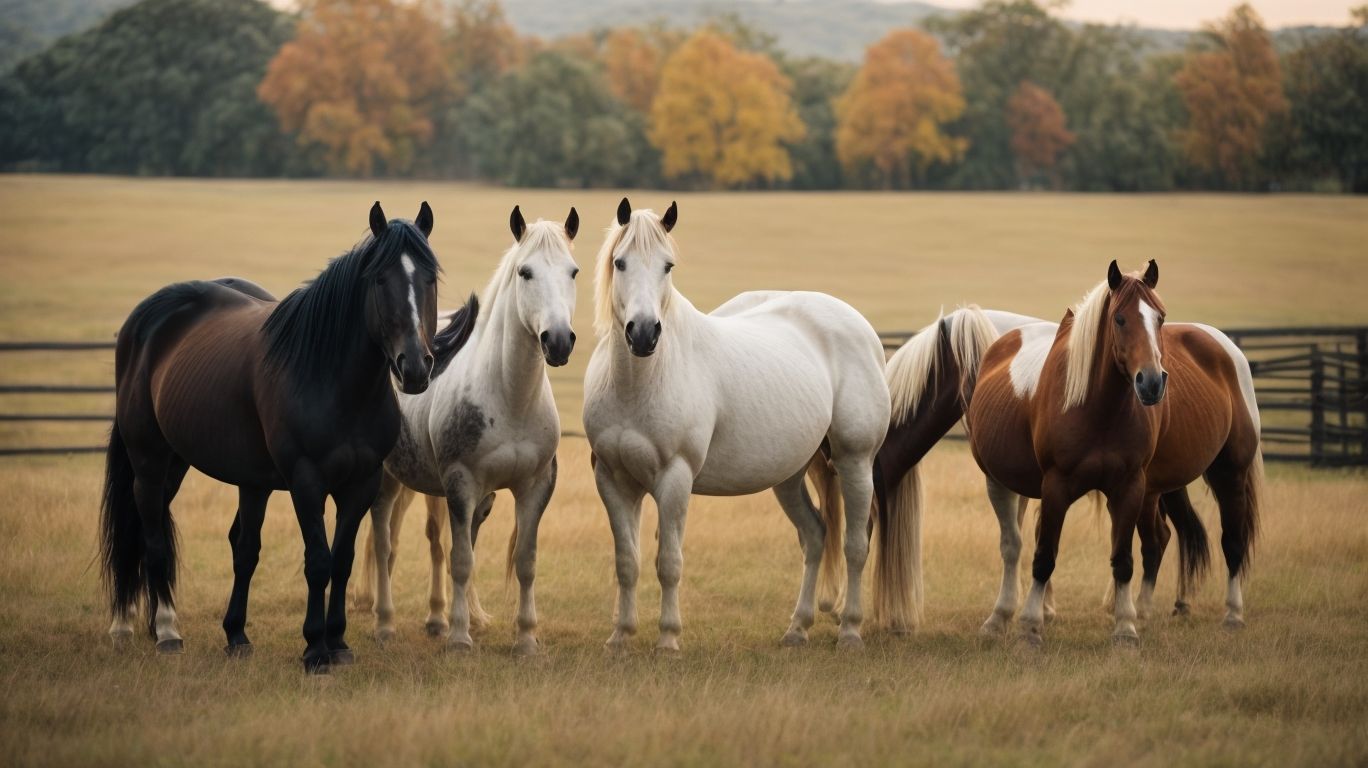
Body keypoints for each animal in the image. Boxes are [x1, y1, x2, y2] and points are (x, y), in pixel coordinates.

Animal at [98, 202, 477, 671]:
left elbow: (342, 560)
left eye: (429, 278)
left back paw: (220, 633)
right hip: (150, 461)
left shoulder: (361, 483)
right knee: (149, 537)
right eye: (379, 279)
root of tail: (145, 319)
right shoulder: (306, 481)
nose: (414, 367)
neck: (333, 380)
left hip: (201, 468)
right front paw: (315, 648)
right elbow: (318, 561)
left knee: (235, 546)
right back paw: (161, 631)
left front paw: (338, 642)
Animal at [356, 206, 579, 656]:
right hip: (389, 481)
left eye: (573, 271)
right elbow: (460, 560)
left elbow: (523, 561)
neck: (509, 396)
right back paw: (385, 623)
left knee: (433, 541)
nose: (559, 341)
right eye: (525, 272)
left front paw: (525, 639)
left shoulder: (534, 486)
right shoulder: (461, 483)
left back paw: (441, 618)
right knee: (386, 542)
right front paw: (459, 639)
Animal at [583, 198, 894, 651]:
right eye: (619, 262)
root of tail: (863, 330)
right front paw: (619, 637)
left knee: (855, 545)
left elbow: (668, 562)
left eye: (668, 266)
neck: (638, 381)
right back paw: (796, 629)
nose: (643, 334)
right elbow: (627, 562)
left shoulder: (674, 479)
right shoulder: (613, 478)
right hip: (789, 475)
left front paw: (668, 639)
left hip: (855, 460)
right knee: (815, 535)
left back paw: (850, 631)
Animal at [874, 307, 1212, 636]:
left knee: (1160, 536)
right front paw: (1038, 608)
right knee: (1163, 534)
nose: (894, 622)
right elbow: (1030, 536)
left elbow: (1024, 539)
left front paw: (1024, 611)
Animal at [966, 261, 1262, 646]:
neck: (1096, 408)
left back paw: (1232, 614)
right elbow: (1044, 556)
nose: (1151, 382)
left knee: (1231, 542)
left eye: (1160, 318)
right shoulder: (1055, 487)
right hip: (1003, 483)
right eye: (1120, 319)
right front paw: (1031, 627)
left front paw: (1125, 629)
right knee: (1013, 547)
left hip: (1229, 472)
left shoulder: (1129, 486)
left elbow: (1122, 558)